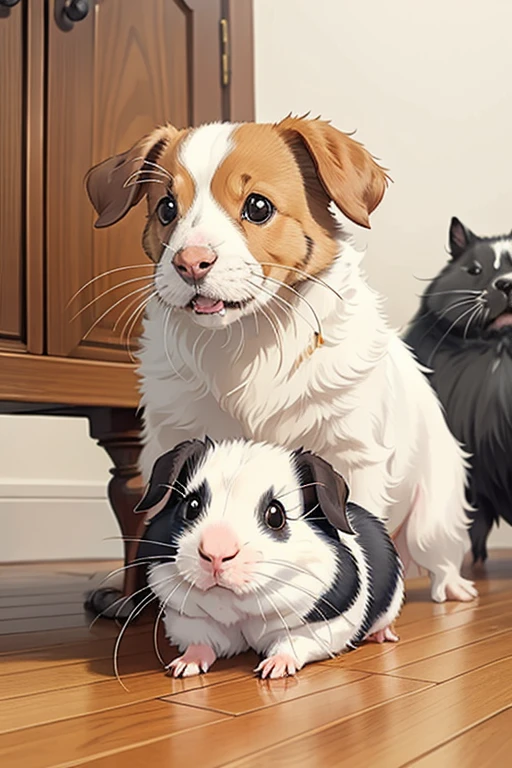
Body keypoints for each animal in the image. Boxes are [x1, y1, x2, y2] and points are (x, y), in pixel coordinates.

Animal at [87, 117, 476, 604]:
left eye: (258, 207)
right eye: (166, 209)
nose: (190, 263)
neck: (248, 340)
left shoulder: (350, 455)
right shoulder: (172, 445)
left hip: (433, 517)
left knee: (439, 553)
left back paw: (452, 587)